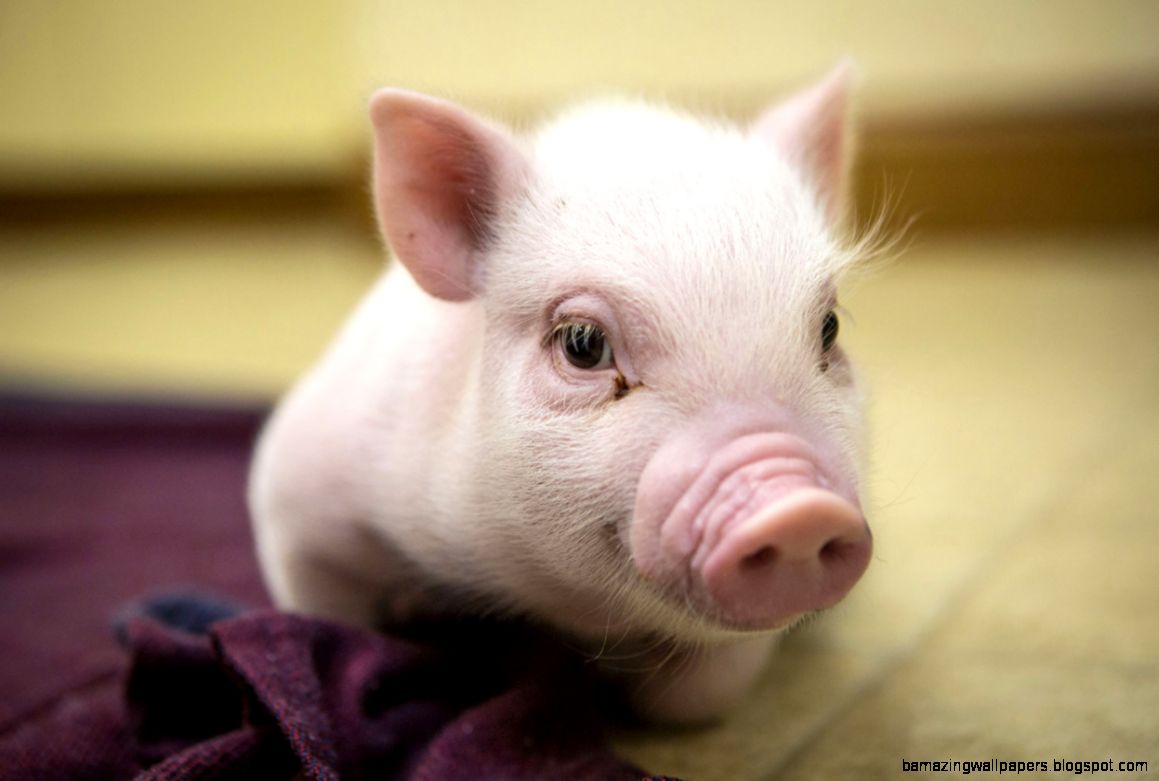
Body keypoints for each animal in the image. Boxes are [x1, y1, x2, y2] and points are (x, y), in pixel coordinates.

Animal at [248, 61, 873, 724]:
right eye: (582, 343)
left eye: (828, 328)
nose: (800, 509)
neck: (549, 605)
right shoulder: (296, 496)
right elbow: (328, 616)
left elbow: (699, 697)